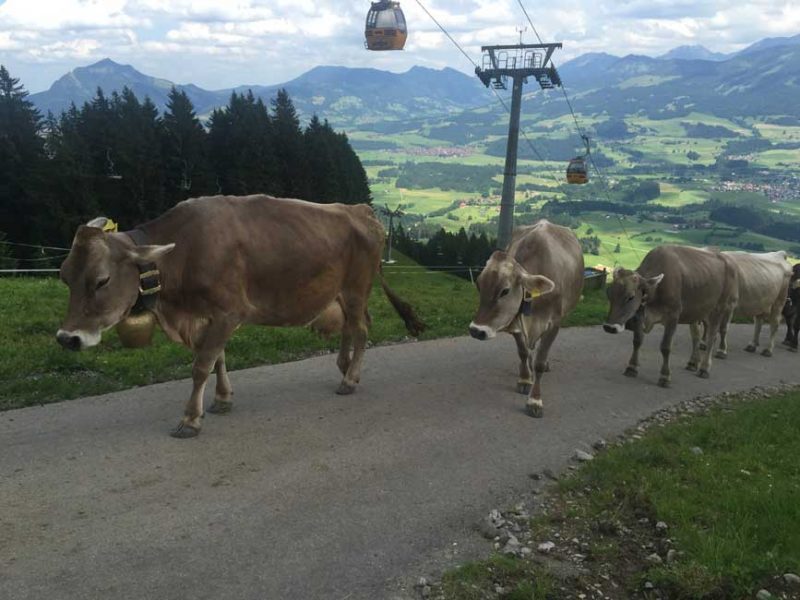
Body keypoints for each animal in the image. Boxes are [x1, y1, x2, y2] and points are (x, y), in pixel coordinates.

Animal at [56, 195, 424, 438]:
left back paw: (349, 379)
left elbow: (201, 365)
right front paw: (221, 400)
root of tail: (361, 210)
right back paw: (345, 368)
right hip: (342, 292)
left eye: (101, 280)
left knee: (361, 330)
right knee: (352, 326)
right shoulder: (208, 316)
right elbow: (217, 358)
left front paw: (190, 419)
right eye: (64, 276)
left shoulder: (229, 311)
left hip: (356, 287)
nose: (67, 338)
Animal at [468, 220, 580, 418]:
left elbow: (540, 363)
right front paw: (525, 379)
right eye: (479, 285)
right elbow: (523, 352)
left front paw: (535, 400)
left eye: (505, 291)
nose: (476, 330)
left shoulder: (554, 323)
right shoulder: (516, 321)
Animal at [604, 246, 740, 386]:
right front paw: (632, 367)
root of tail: (727, 260)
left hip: (720, 307)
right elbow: (637, 341)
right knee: (696, 336)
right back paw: (693, 362)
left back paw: (705, 368)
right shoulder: (639, 315)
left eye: (631, 297)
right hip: (695, 312)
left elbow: (665, 347)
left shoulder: (673, 316)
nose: (609, 327)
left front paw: (665, 376)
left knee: (712, 337)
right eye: (608, 293)